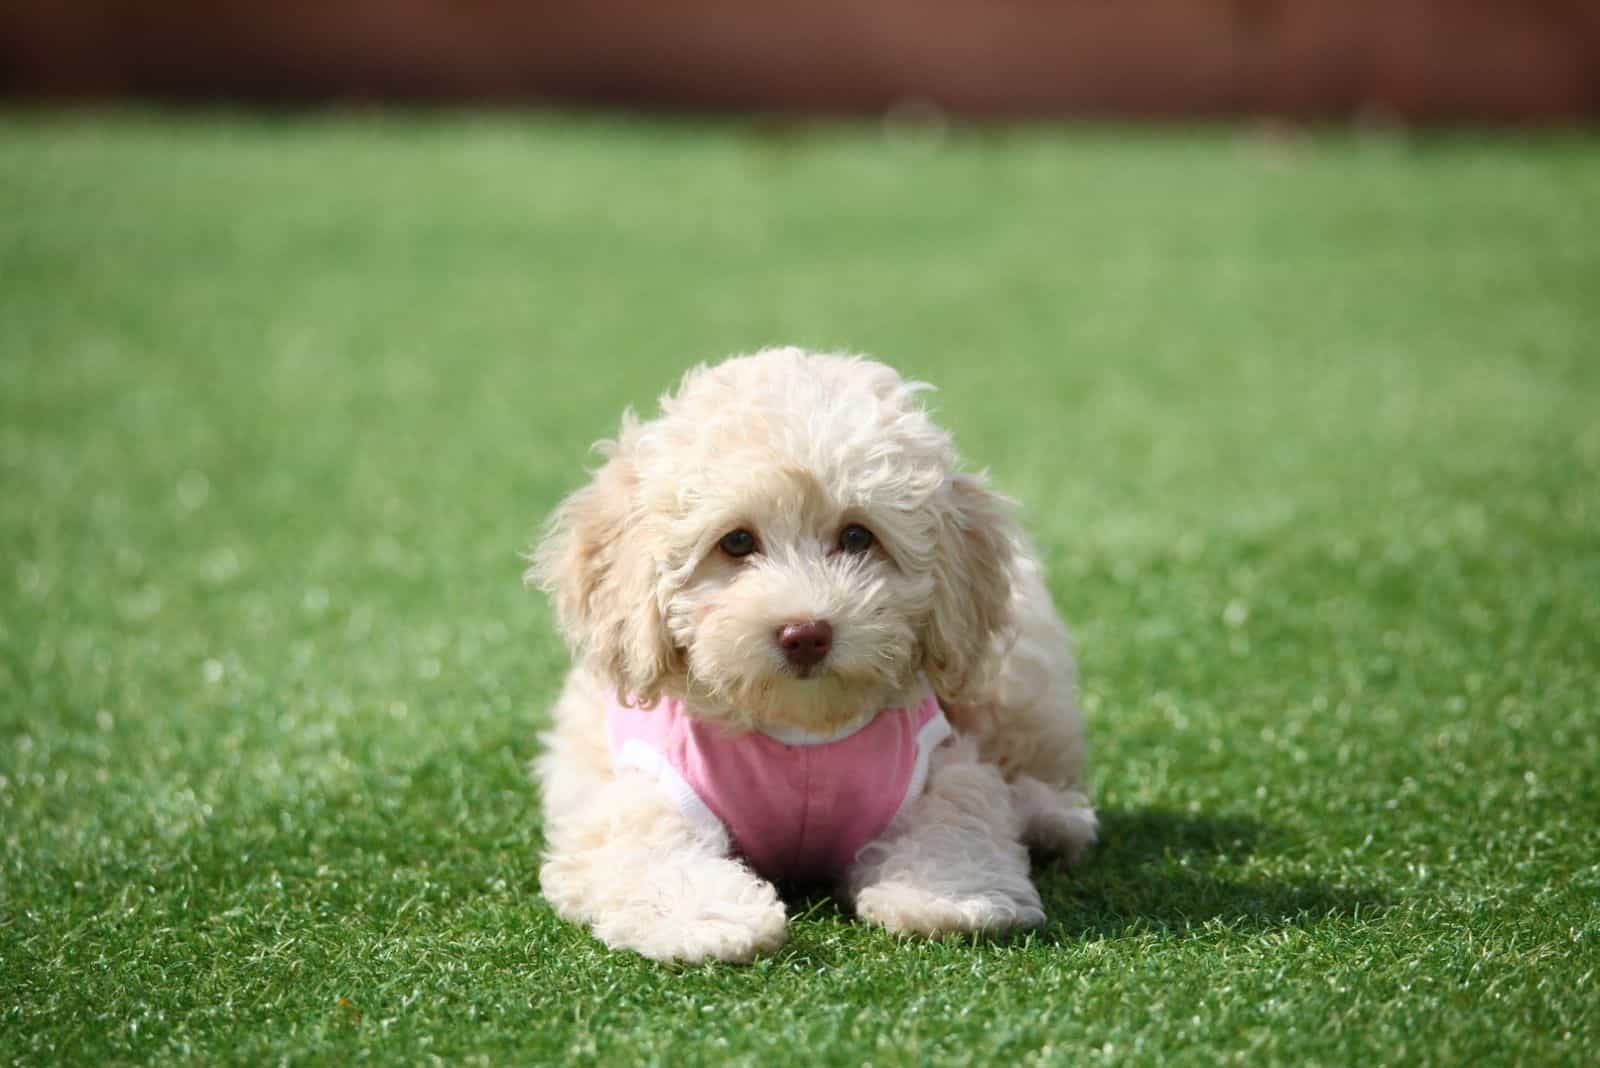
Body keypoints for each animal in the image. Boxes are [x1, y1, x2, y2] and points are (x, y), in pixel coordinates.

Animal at [531, 346, 1094, 965]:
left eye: (857, 537)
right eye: (736, 542)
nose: (805, 633)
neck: (800, 729)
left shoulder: (939, 763)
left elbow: (957, 815)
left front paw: (948, 896)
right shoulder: (643, 787)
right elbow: (646, 847)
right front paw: (704, 919)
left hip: (1018, 679)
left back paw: (1048, 820)